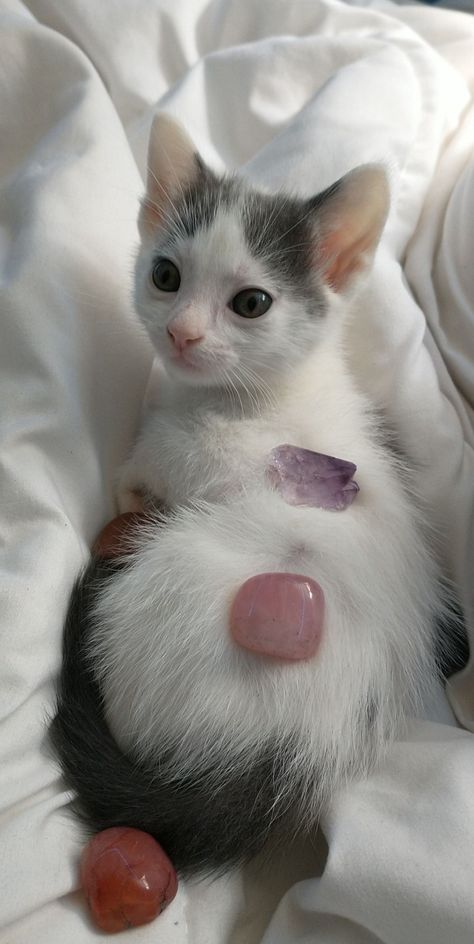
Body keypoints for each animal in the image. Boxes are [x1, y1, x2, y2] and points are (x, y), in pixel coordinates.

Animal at [52, 116, 452, 876]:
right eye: (166, 275)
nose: (181, 333)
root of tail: (283, 751)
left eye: (251, 303)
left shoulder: (253, 458)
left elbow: (163, 460)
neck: (243, 398)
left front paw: (133, 476)